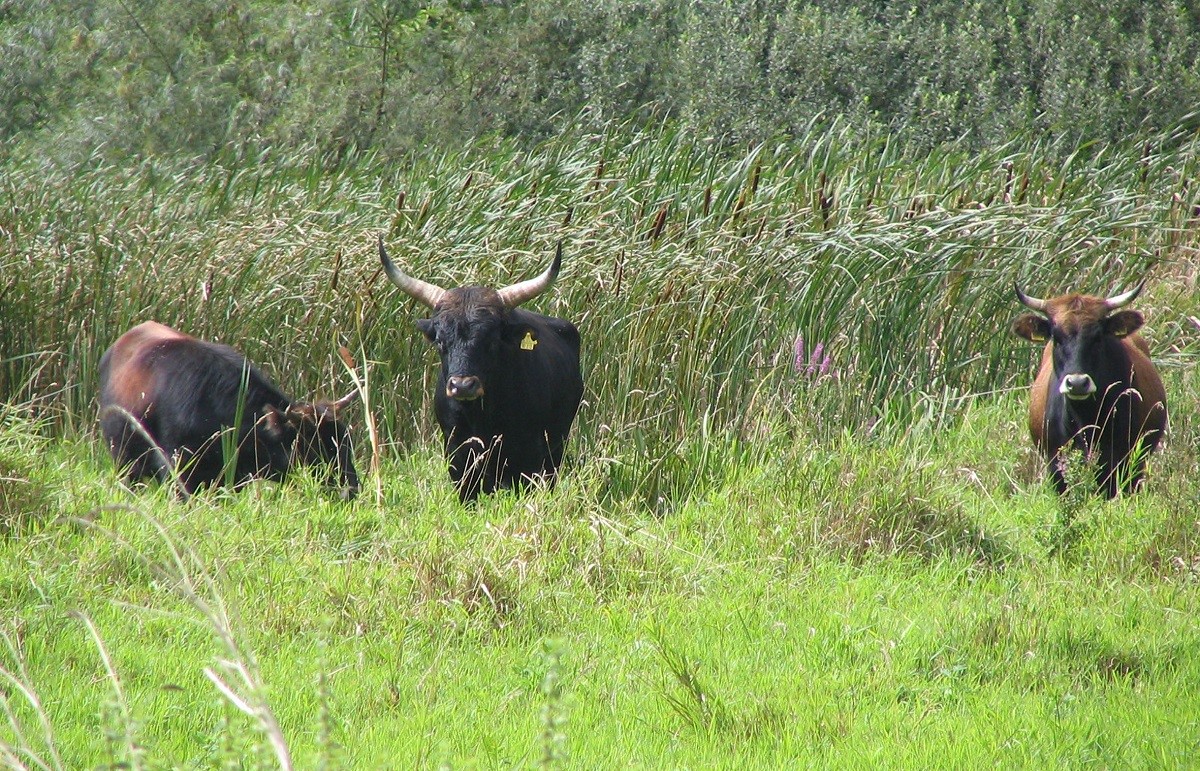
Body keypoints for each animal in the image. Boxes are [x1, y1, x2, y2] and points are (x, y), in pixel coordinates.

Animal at [374, 237, 580, 501]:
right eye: (440, 341)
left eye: (491, 340)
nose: (462, 386)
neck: (482, 417)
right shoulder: (458, 456)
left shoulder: (530, 457)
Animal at [1008, 278, 1166, 494]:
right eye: (1056, 337)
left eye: (1097, 337)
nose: (1077, 383)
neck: (1085, 420)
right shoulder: (1056, 467)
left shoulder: (1125, 465)